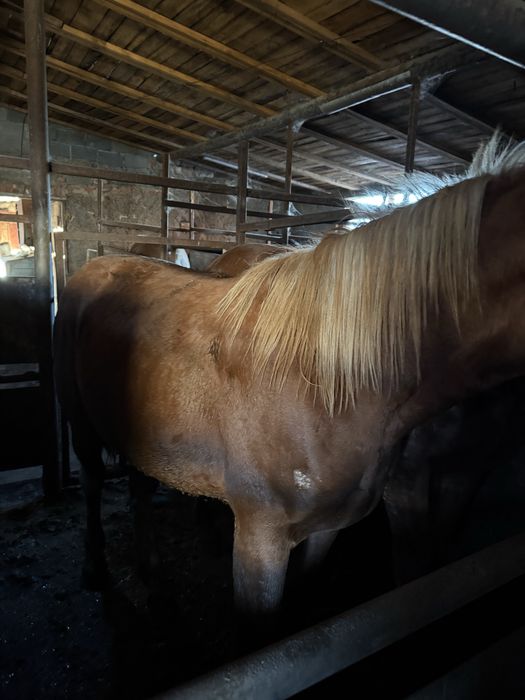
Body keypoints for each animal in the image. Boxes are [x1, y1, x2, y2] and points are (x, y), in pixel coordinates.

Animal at [53, 136, 525, 617]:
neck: (331, 378)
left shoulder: (330, 528)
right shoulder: (262, 537)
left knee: (140, 488)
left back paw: (150, 574)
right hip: (80, 424)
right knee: (92, 483)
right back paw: (96, 570)